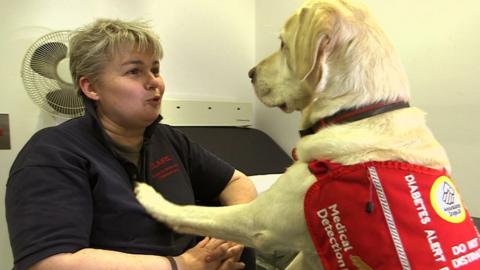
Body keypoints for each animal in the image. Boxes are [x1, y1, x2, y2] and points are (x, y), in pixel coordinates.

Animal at [135, 1, 480, 268]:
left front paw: (153, 200)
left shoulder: (259, 220)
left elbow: (195, 211)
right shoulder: (311, 254)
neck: (356, 112)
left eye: (283, 44)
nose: (250, 73)